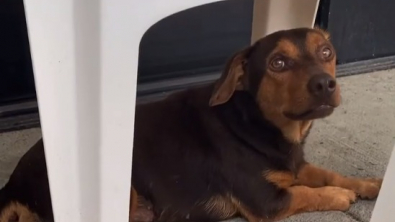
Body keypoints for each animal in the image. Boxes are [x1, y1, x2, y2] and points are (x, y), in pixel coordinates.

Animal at [0, 28, 384, 222]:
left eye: (326, 53)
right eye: (278, 63)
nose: (325, 84)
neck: (259, 122)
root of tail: (14, 182)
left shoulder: (294, 166)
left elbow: (327, 173)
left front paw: (370, 184)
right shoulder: (265, 201)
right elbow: (306, 193)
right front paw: (340, 196)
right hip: (122, 188)